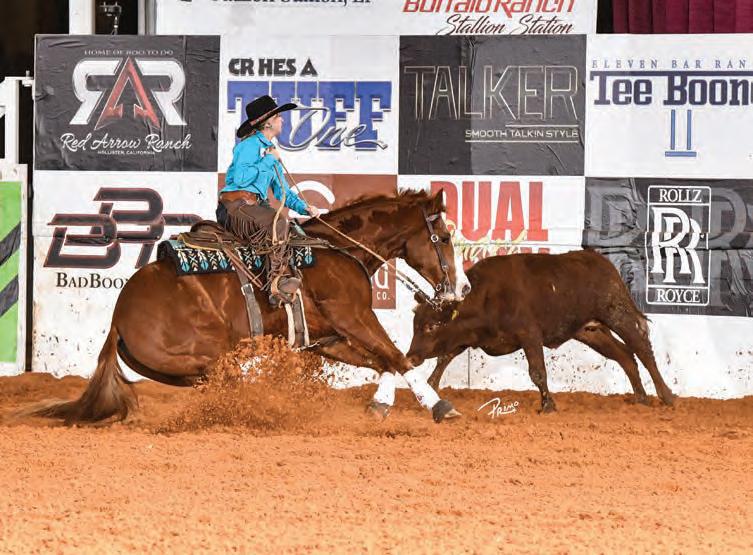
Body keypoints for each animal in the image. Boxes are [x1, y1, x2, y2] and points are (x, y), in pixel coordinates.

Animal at [33, 190, 471, 425]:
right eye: (444, 237)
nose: (463, 287)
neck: (338, 251)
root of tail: (118, 319)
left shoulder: (328, 338)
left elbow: (383, 362)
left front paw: (380, 405)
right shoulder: (355, 317)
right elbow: (398, 356)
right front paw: (440, 406)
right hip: (214, 352)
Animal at [406, 250, 675, 413]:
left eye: (430, 326)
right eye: (415, 325)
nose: (410, 357)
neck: (486, 297)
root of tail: (601, 262)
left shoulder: (529, 335)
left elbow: (537, 372)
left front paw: (548, 405)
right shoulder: (465, 337)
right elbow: (444, 358)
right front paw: (429, 387)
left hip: (618, 314)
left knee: (642, 348)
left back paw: (667, 396)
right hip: (592, 331)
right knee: (624, 355)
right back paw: (640, 398)